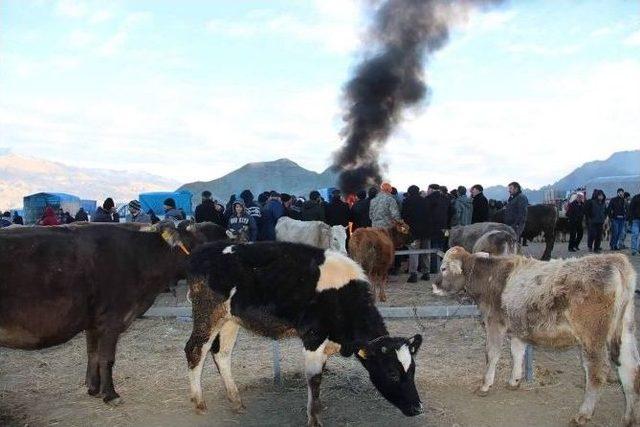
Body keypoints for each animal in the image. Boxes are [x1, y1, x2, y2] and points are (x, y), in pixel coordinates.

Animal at [0, 222, 225, 406]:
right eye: (204, 244)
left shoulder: (93, 322)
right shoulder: (111, 320)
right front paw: (110, 395)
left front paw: (93, 388)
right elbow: (107, 358)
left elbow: (93, 354)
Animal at [184, 242, 424, 426]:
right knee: (195, 350)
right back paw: (199, 403)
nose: (418, 408)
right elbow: (314, 380)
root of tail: (202, 251)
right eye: (392, 373)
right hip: (208, 312)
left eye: (412, 369)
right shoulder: (313, 337)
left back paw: (236, 401)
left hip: (230, 320)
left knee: (222, 354)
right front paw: (314, 419)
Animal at [432, 247, 636, 427]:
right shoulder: (517, 329)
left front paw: (485, 385)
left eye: (443, 268)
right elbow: (517, 353)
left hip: (592, 337)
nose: (434, 285)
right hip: (625, 333)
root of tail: (613, 259)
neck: (489, 276)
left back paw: (583, 414)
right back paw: (629, 417)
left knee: (597, 373)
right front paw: (514, 381)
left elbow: (492, 354)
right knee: (630, 369)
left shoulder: (494, 323)